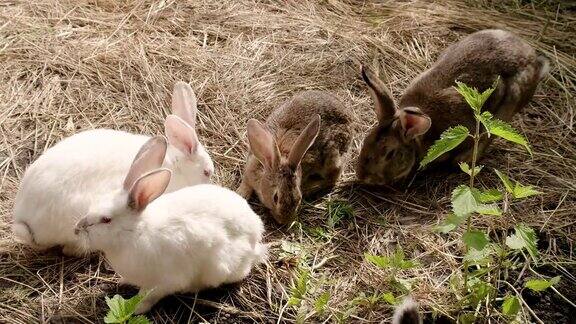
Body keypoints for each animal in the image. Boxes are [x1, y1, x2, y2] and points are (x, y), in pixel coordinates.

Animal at [73, 135, 266, 314]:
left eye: (106, 219)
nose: (77, 229)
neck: (135, 233)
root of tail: (256, 232)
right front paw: (123, 281)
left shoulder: (163, 283)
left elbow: (148, 297)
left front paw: (137, 309)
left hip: (220, 267)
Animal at [237, 90, 354, 224]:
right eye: (275, 197)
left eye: (299, 198)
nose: (284, 221)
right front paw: (241, 194)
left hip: (332, 157)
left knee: (332, 178)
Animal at [356, 29, 548, 186]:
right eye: (366, 141)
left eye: (390, 154)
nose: (361, 175)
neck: (420, 138)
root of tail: (533, 58)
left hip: (509, 103)